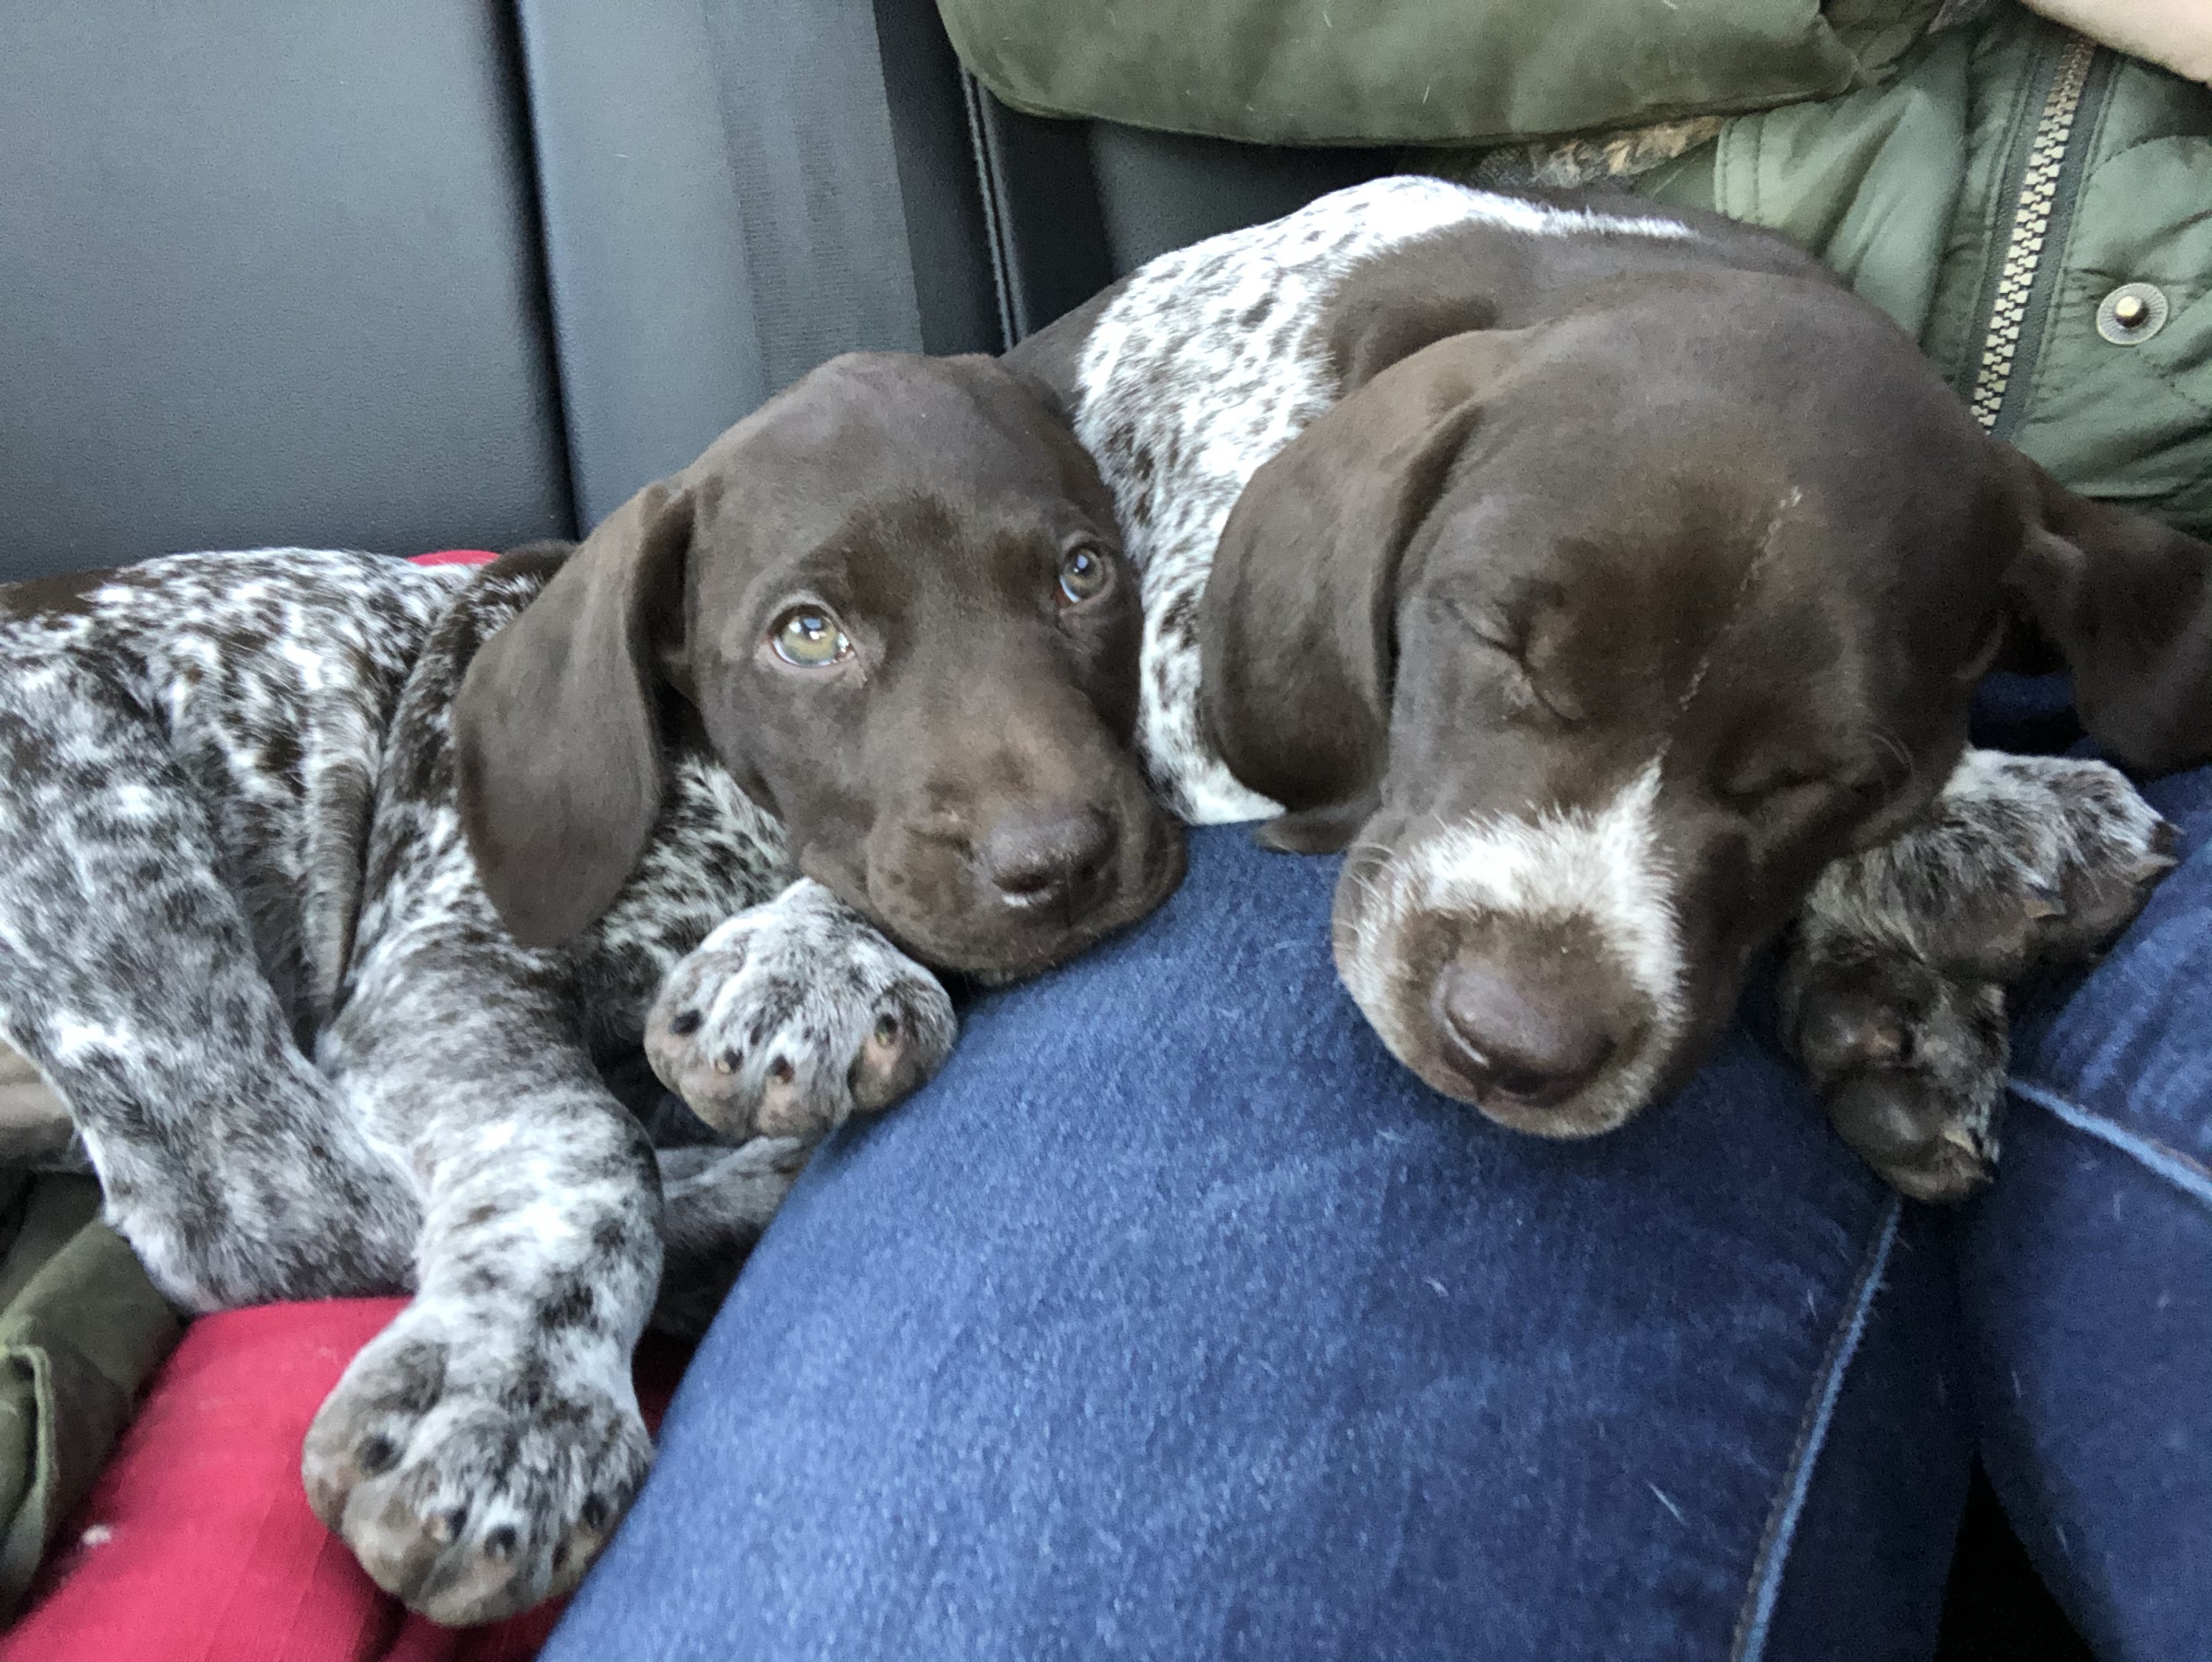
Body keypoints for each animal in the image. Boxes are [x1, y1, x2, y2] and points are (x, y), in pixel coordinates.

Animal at [0, 349, 1182, 1622]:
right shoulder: (439, 966)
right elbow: (591, 1149)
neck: (718, 801)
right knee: (271, 1217)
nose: (1060, 865)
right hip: (108, 832)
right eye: (808, 637)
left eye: (1082, 575)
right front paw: (515, 1403)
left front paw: (807, 956)